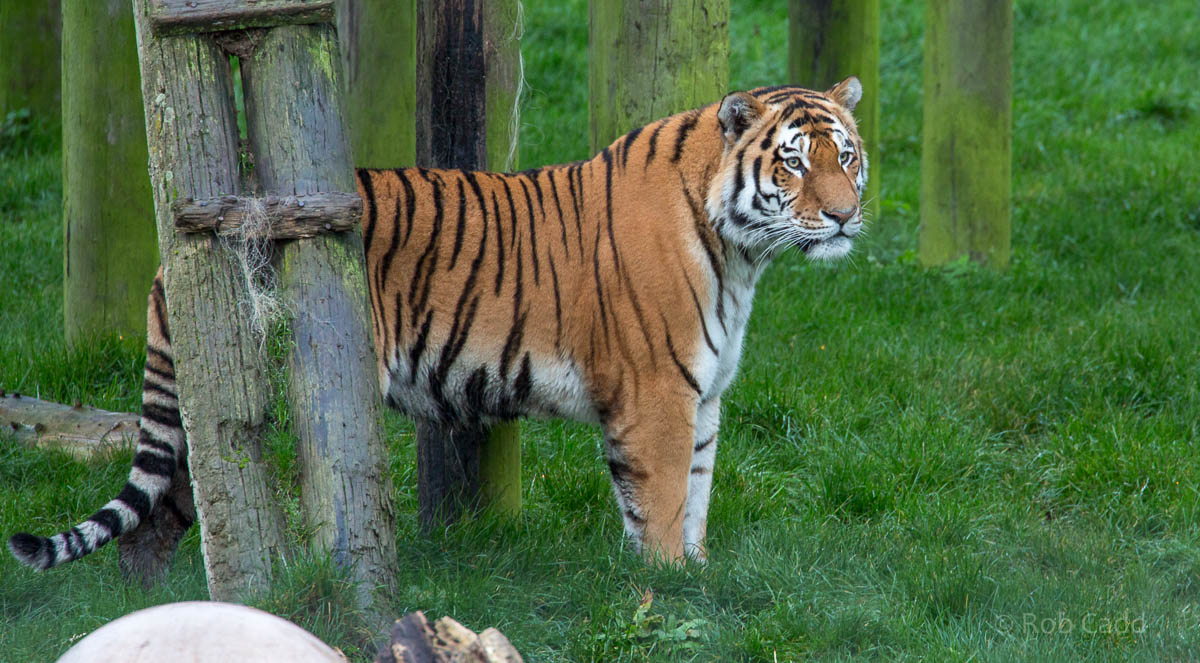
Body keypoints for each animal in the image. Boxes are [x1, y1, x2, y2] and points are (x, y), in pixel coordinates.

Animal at [9, 77, 867, 574]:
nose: (845, 216)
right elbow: (658, 504)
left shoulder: (705, 395)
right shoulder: (658, 393)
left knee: (160, 518)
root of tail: (174, 255)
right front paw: (665, 593)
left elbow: (696, 495)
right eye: (793, 162)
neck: (742, 254)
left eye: (848, 157)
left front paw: (697, 579)